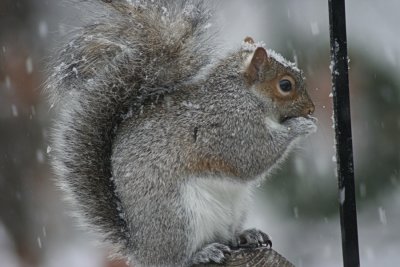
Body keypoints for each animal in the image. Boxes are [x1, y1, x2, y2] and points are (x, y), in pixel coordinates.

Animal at [45, 0, 318, 267]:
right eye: (285, 85)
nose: (311, 109)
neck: (243, 96)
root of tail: (141, 250)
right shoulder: (231, 128)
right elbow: (253, 157)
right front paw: (301, 125)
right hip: (178, 218)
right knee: (177, 259)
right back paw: (203, 254)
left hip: (234, 209)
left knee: (227, 237)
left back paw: (245, 236)